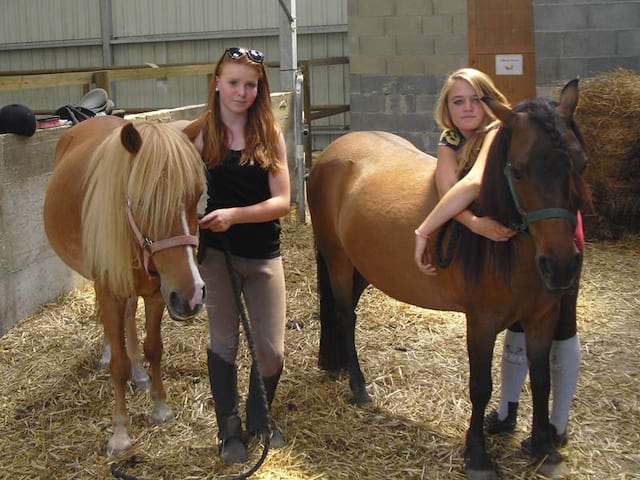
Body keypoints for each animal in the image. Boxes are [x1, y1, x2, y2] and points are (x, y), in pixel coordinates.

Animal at [43, 115, 208, 454]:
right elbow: (118, 365)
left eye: (197, 194)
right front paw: (120, 433)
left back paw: (140, 373)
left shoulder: (159, 294)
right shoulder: (110, 291)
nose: (192, 297)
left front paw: (160, 406)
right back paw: (110, 353)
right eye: (143, 200)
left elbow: (154, 348)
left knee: (131, 317)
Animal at [308, 80, 588, 478]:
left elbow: (542, 379)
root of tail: (330, 154)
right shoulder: (481, 322)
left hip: (363, 268)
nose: (561, 265)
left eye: (580, 164)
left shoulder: (542, 319)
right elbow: (481, 385)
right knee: (346, 317)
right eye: (518, 171)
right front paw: (478, 455)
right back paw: (358, 388)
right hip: (338, 261)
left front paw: (544, 447)